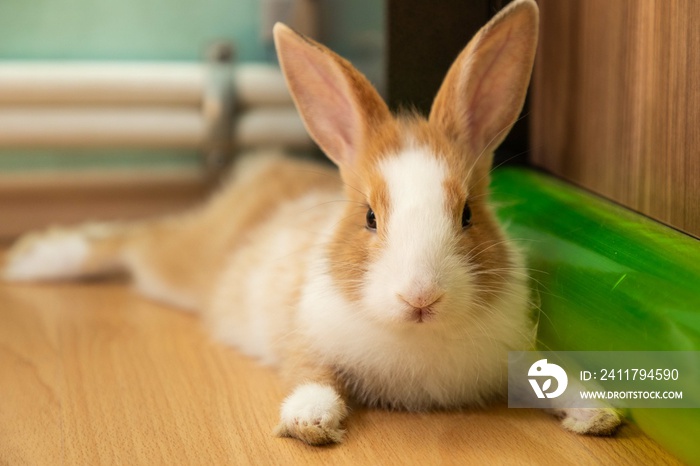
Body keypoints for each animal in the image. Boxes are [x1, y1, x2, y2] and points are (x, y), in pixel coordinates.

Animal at [2, 0, 620, 446]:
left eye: (467, 214)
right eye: (369, 217)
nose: (421, 298)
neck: (417, 339)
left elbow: (547, 376)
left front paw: (599, 415)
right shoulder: (305, 337)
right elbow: (313, 376)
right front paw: (309, 423)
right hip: (177, 265)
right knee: (129, 239)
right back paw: (31, 260)